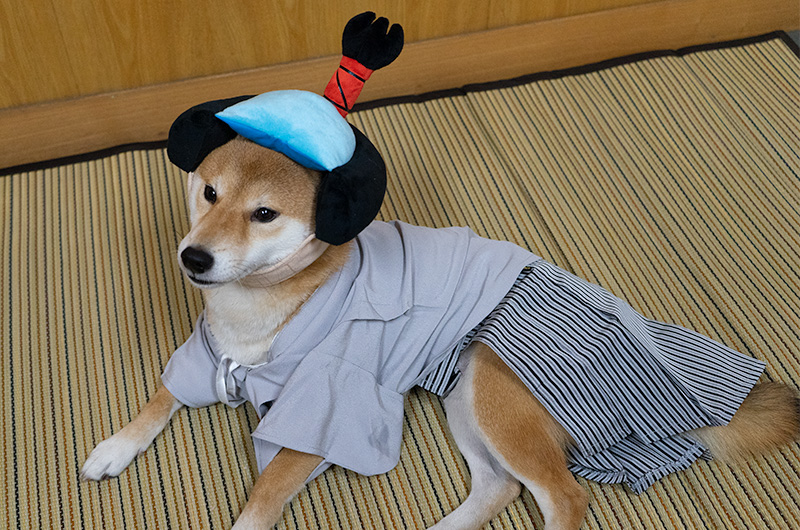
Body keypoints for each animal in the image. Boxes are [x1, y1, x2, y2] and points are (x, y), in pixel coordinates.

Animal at [83, 131, 800, 524]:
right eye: (209, 193)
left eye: (264, 214)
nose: (195, 258)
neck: (257, 314)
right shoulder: (207, 355)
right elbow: (158, 401)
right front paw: (115, 446)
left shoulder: (327, 411)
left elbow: (266, 490)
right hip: (466, 400)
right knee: (500, 488)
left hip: (495, 387)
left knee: (564, 498)